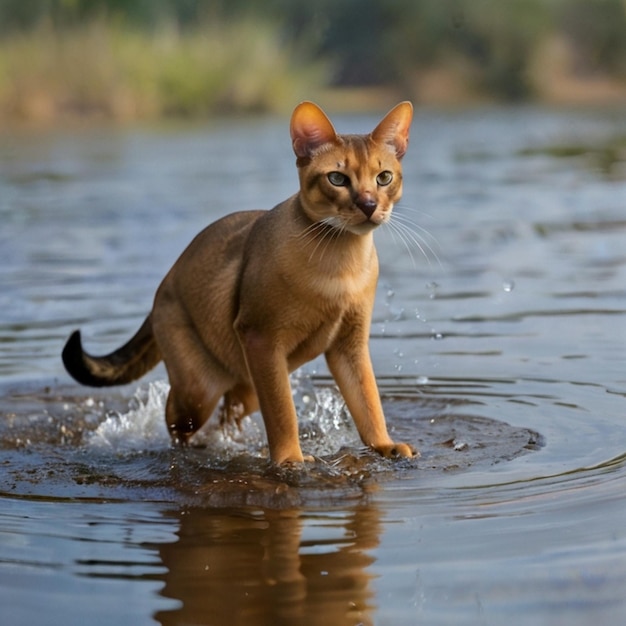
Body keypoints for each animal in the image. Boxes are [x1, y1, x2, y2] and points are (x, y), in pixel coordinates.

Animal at [62, 101, 414, 464]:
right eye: (337, 178)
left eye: (384, 177)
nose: (369, 205)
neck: (340, 267)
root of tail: (162, 289)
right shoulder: (262, 338)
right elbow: (284, 414)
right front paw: (291, 460)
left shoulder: (348, 346)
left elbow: (368, 402)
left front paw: (385, 446)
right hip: (199, 391)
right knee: (177, 419)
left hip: (249, 383)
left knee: (228, 413)